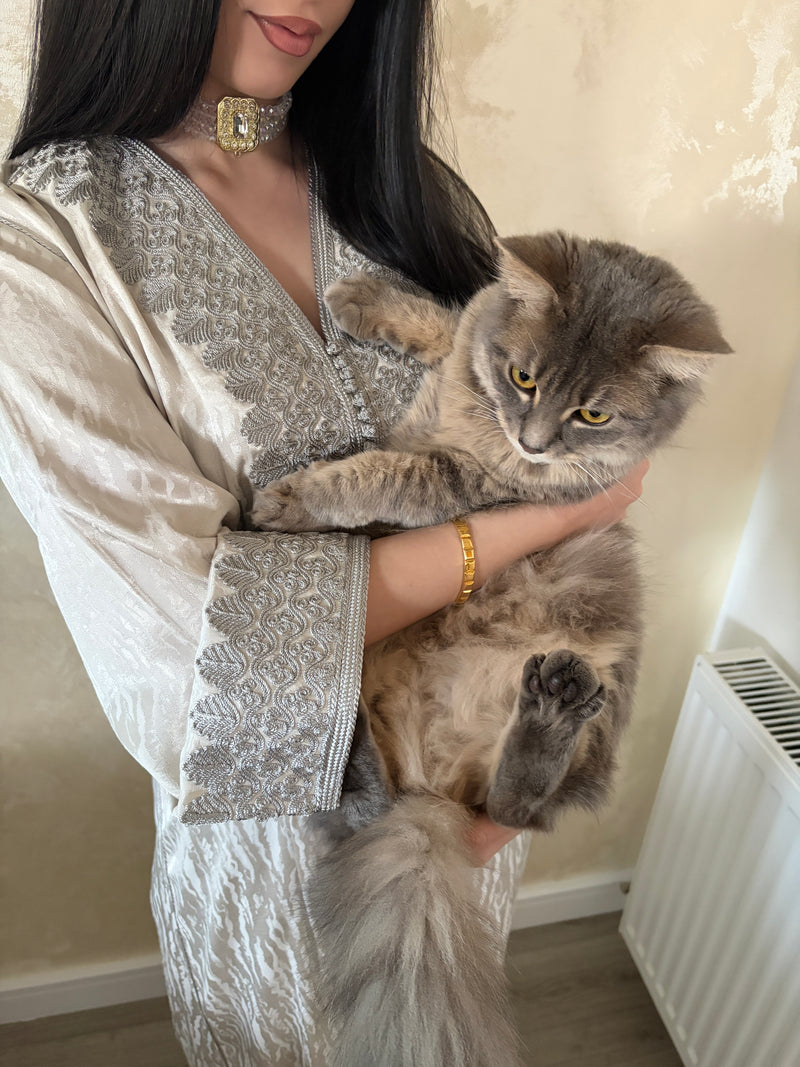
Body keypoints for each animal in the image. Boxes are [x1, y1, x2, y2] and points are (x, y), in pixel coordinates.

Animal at [251, 231, 731, 1067]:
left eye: (593, 413)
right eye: (524, 378)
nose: (533, 442)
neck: (480, 418)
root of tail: (433, 788)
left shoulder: (457, 481)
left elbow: (380, 472)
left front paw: (295, 496)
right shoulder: (468, 360)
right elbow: (448, 321)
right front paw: (369, 300)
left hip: (599, 692)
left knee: (518, 802)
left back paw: (545, 718)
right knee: (363, 805)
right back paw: (358, 768)